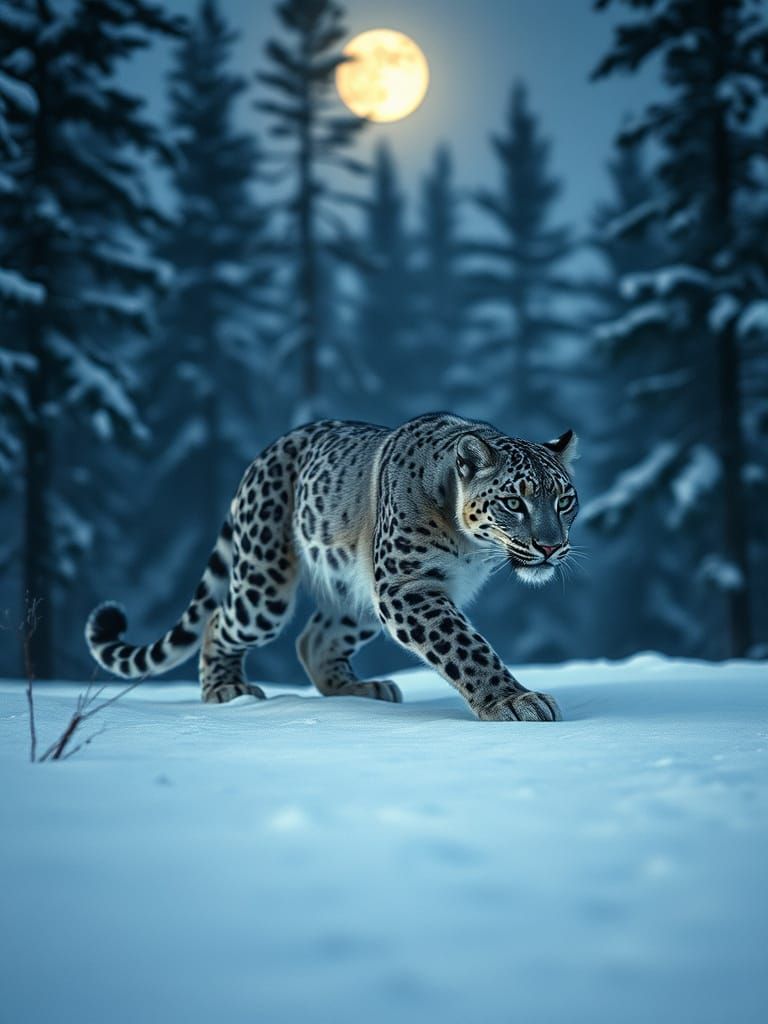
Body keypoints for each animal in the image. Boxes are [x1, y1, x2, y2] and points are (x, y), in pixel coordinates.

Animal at [86, 413, 579, 722]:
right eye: (513, 502)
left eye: (564, 500)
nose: (551, 546)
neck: (471, 547)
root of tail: (270, 447)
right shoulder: (408, 585)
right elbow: (465, 648)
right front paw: (516, 702)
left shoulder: (402, 589)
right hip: (264, 588)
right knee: (220, 622)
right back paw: (226, 692)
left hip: (356, 596)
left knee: (313, 641)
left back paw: (364, 691)